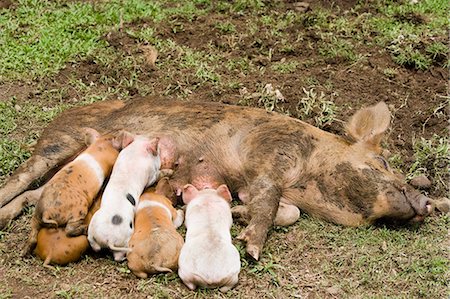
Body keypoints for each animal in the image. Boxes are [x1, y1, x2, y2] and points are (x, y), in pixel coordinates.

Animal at [0, 98, 430, 260]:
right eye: (382, 161)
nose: (427, 202)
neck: (308, 179)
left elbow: (284, 212)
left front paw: (237, 214)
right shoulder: (271, 156)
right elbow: (269, 200)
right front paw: (252, 249)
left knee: (37, 195)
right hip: (57, 144)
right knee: (20, 177)